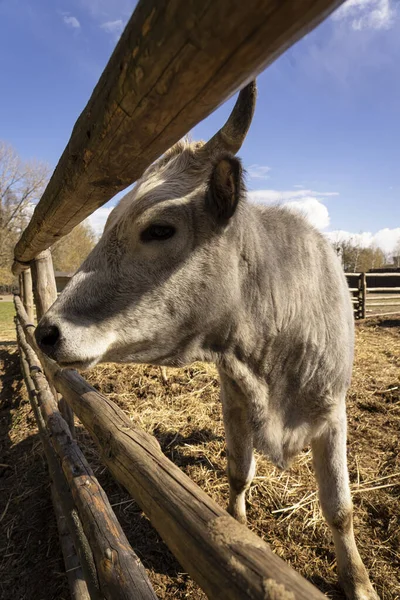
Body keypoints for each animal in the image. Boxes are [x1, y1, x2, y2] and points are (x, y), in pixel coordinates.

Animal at [35, 81, 378, 600]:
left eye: (159, 228)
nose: (46, 332)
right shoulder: (233, 394)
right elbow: (238, 470)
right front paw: (239, 523)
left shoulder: (333, 413)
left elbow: (340, 509)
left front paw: (358, 582)